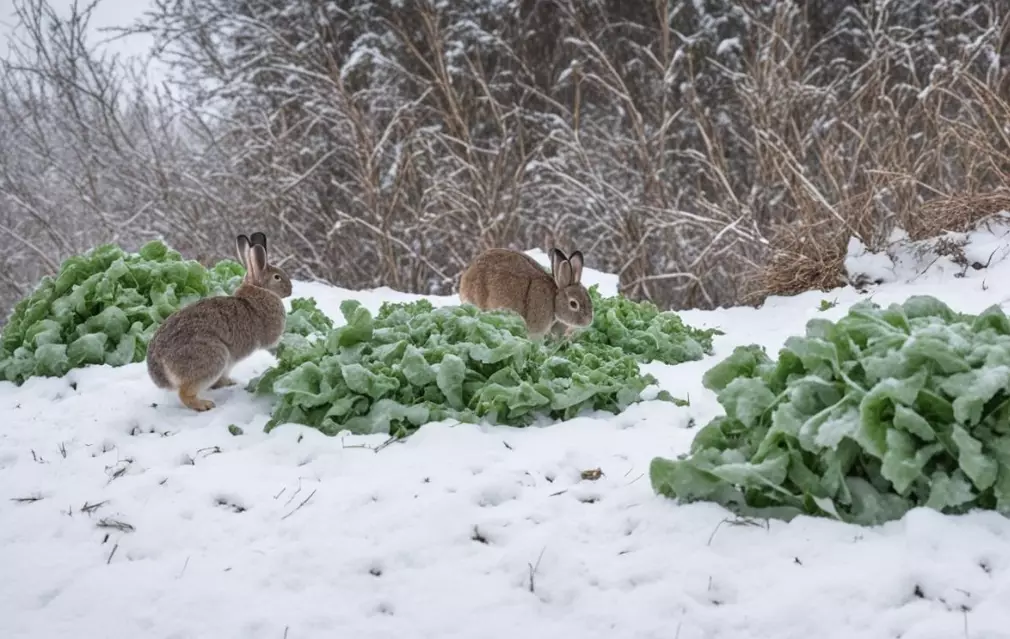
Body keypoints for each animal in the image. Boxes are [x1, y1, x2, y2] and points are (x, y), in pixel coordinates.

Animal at [146, 232, 293, 411]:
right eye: (277, 277)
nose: (290, 290)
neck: (259, 289)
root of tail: (159, 364)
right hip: (213, 358)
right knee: (185, 393)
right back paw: (204, 404)